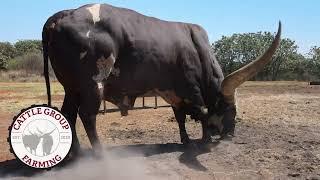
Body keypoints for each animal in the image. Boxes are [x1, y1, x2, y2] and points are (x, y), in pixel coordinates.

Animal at [42, 3, 280, 154]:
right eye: (232, 109)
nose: (231, 134)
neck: (198, 50)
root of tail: (64, 14)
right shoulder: (192, 88)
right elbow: (202, 112)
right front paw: (204, 140)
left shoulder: (174, 93)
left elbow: (180, 116)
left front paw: (186, 140)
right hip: (93, 83)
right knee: (87, 115)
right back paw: (100, 153)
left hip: (72, 88)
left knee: (69, 113)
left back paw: (76, 153)